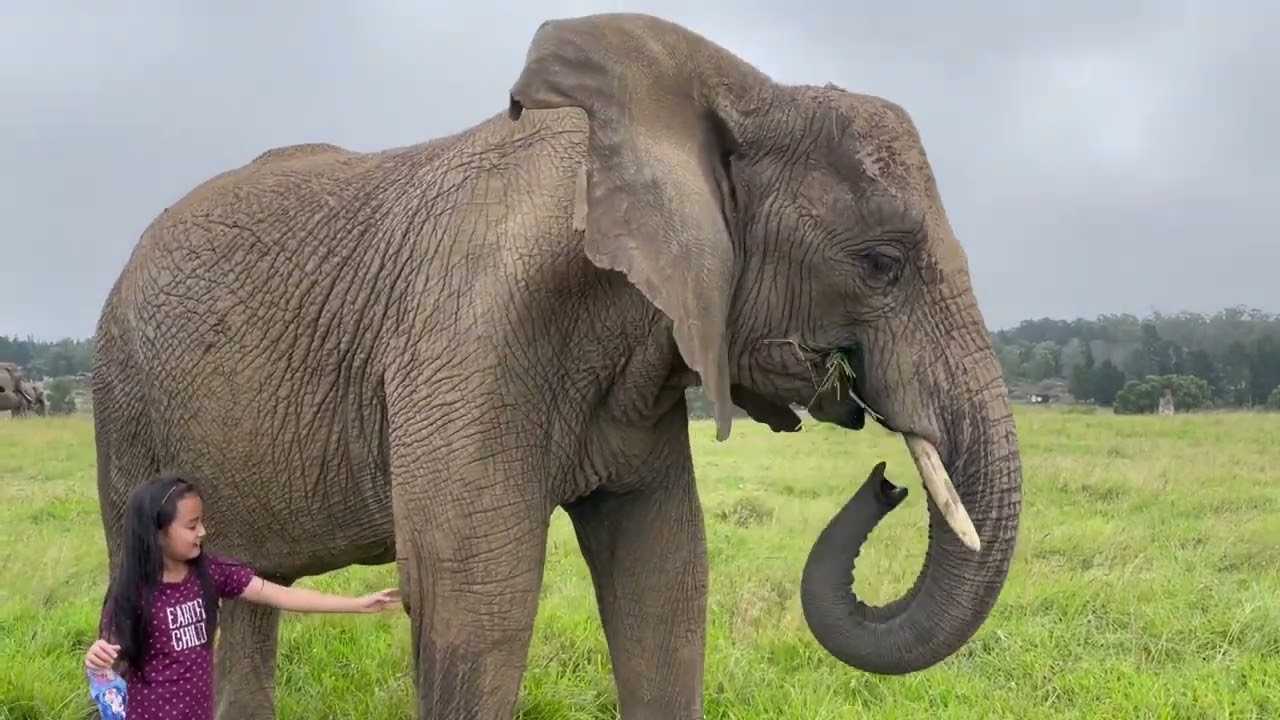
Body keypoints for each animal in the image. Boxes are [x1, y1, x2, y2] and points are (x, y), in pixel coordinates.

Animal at [90, 12, 1022, 720]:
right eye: (882, 264)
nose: (884, 482)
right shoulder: (467, 339)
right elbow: (478, 605)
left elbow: (664, 583)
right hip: (124, 403)